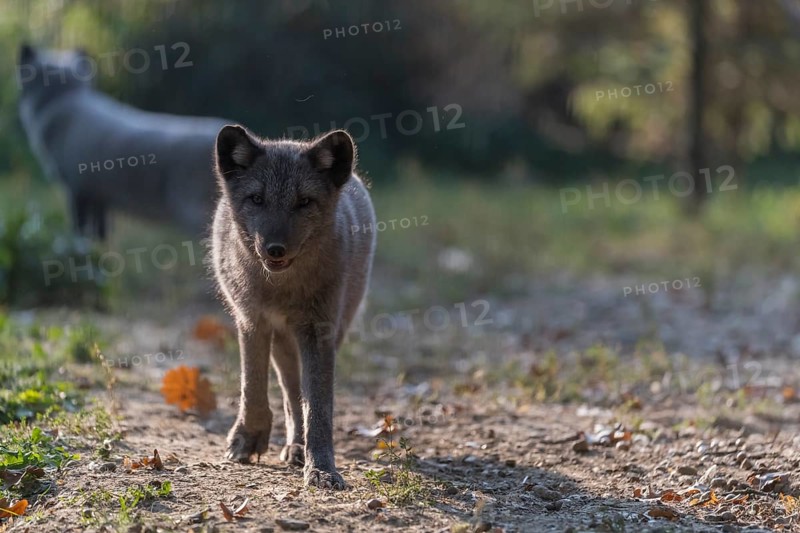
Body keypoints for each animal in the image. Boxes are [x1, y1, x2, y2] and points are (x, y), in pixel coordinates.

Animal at [211, 125, 376, 489]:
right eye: (257, 199)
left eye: (304, 202)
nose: (274, 249)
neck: (281, 290)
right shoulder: (252, 321)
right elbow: (252, 385)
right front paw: (247, 439)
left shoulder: (319, 332)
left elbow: (319, 406)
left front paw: (322, 468)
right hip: (283, 344)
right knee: (290, 392)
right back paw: (293, 445)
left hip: (330, 331)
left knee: (299, 394)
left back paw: (299, 448)